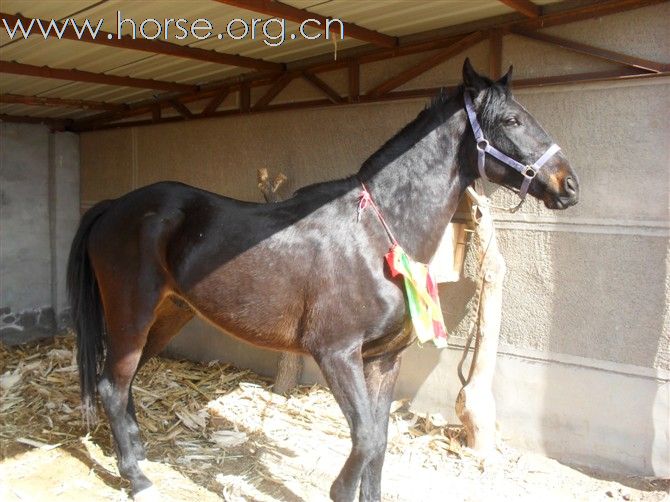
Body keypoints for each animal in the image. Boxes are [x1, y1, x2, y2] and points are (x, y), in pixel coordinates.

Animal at [71, 59, 580, 502]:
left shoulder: (383, 360)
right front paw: (339, 491)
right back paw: (138, 479)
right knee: (113, 386)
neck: (376, 232)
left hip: (168, 316)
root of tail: (114, 207)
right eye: (512, 120)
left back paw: (137, 455)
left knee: (125, 381)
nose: (569, 186)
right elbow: (366, 438)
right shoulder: (335, 353)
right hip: (132, 317)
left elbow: (380, 439)